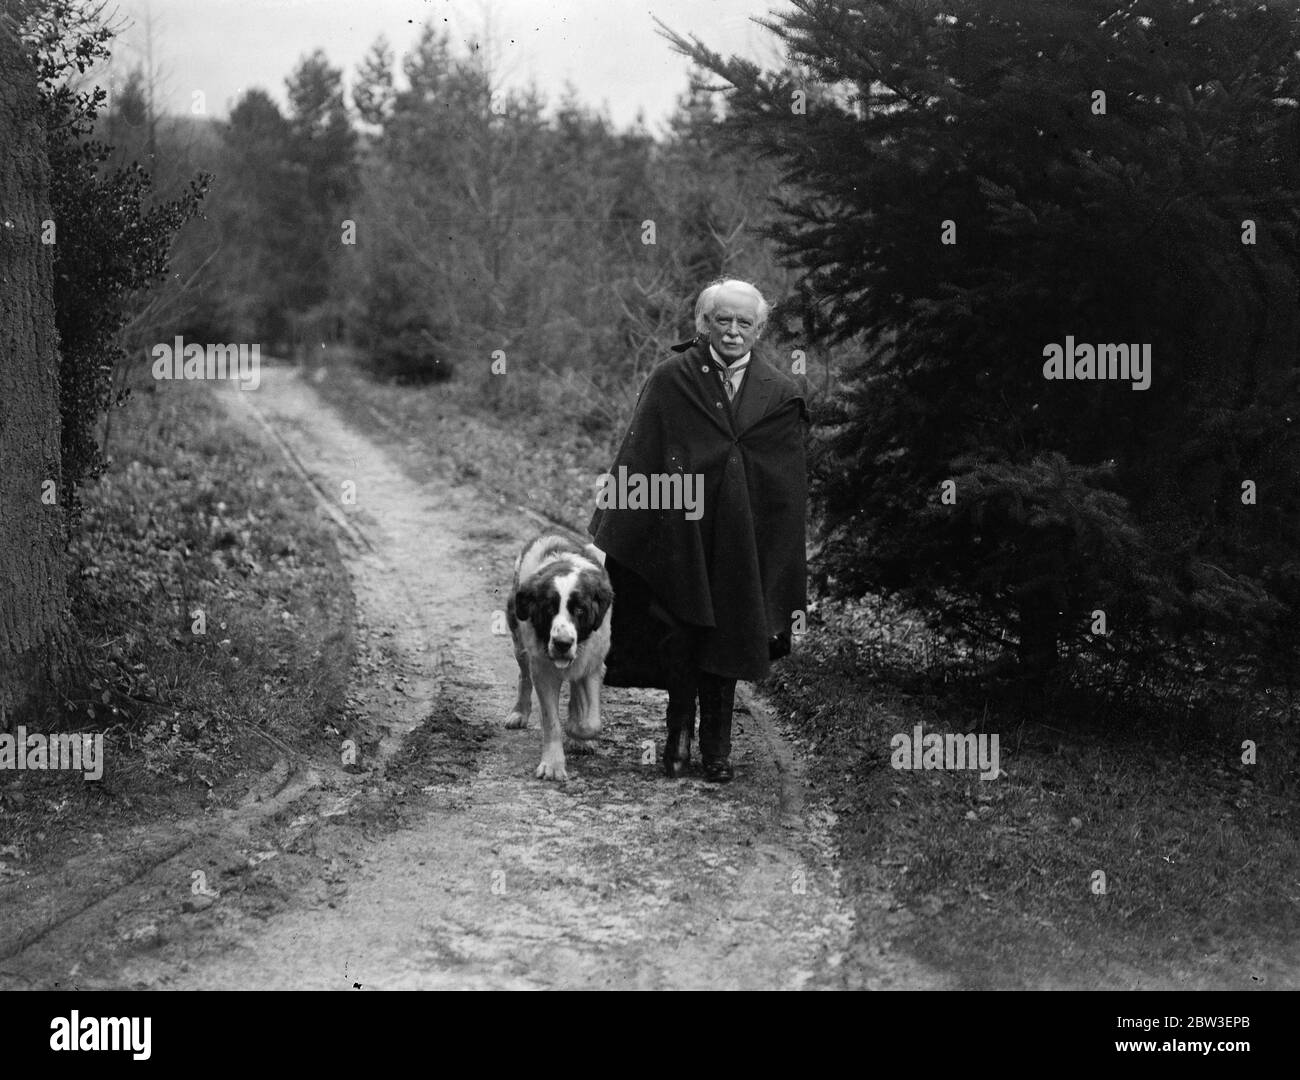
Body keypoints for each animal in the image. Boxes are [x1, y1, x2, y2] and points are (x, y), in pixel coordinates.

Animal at [501, 530, 613, 779]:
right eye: (549, 608)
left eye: (580, 610)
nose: (562, 643)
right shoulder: (543, 670)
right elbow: (551, 721)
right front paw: (552, 764)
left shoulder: (593, 663)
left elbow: (591, 722)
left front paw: (577, 732)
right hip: (518, 638)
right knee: (524, 675)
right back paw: (519, 712)